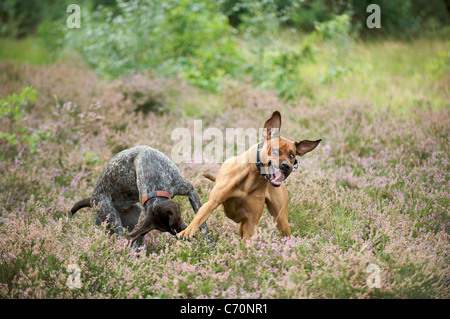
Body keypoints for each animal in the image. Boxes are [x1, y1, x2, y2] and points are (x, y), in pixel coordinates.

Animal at [176, 111, 320, 241]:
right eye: (275, 151)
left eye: (292, 155)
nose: (286, 166)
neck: (252, 179)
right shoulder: (212, 203)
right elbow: (199, 218)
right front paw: (187, 231)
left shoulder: (251, 222)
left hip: (280, 219)